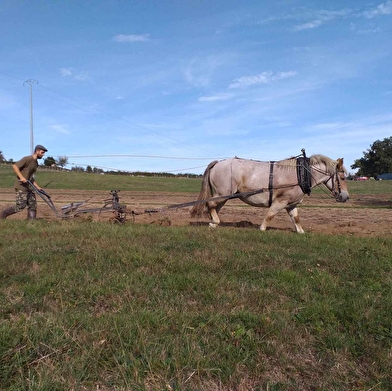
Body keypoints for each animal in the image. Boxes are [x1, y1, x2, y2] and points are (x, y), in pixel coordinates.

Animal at [190, 153, 350, 234]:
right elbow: (270, 215)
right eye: (342, 178)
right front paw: (262, 228)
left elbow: (296, 219)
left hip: (223, 195)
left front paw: (300, 231)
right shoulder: (281, 201)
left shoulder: (291, 204)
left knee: (214, 207)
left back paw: (213, 222)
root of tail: (218, 163)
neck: (300, 174)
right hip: (223, 193)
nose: (346, 197)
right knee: (210, 204)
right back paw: (215, 221)